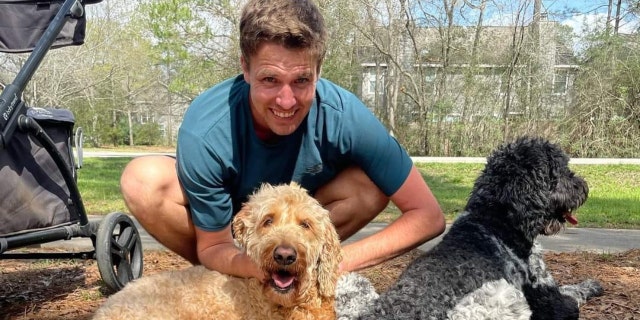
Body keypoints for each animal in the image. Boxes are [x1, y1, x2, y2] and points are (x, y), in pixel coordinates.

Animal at [338, 137, 604, 320]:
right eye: (561, 170)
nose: (584, 187)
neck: (494, 220)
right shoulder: (548, 299)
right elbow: (571, 295)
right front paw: (591, 286)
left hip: (355, 285)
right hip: (502, 294)